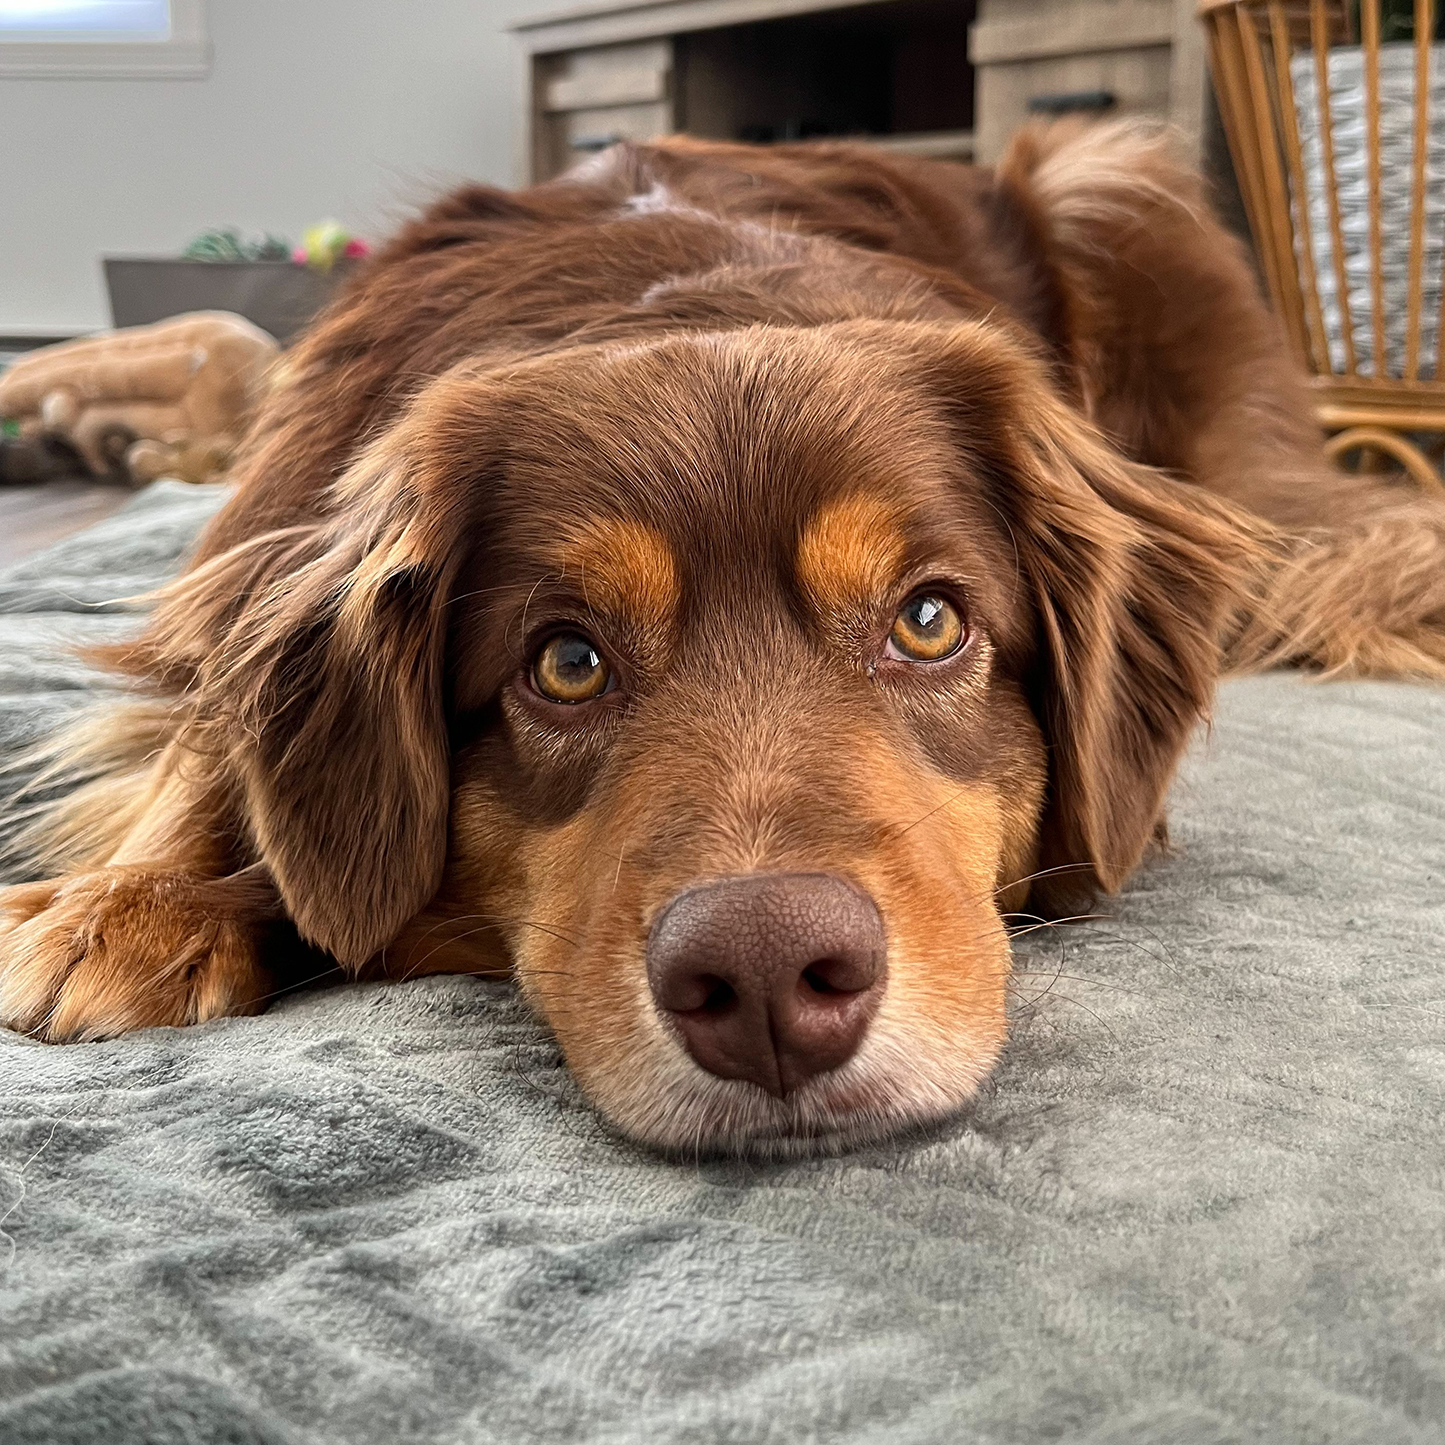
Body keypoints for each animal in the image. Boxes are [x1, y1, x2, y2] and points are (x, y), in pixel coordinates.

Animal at [2, 124, 1445, 1156]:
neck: (688, 295)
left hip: (1121, 185)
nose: (765, 982)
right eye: (565, 662)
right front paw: (136, 897)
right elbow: (209, 719)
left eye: (929, 621)